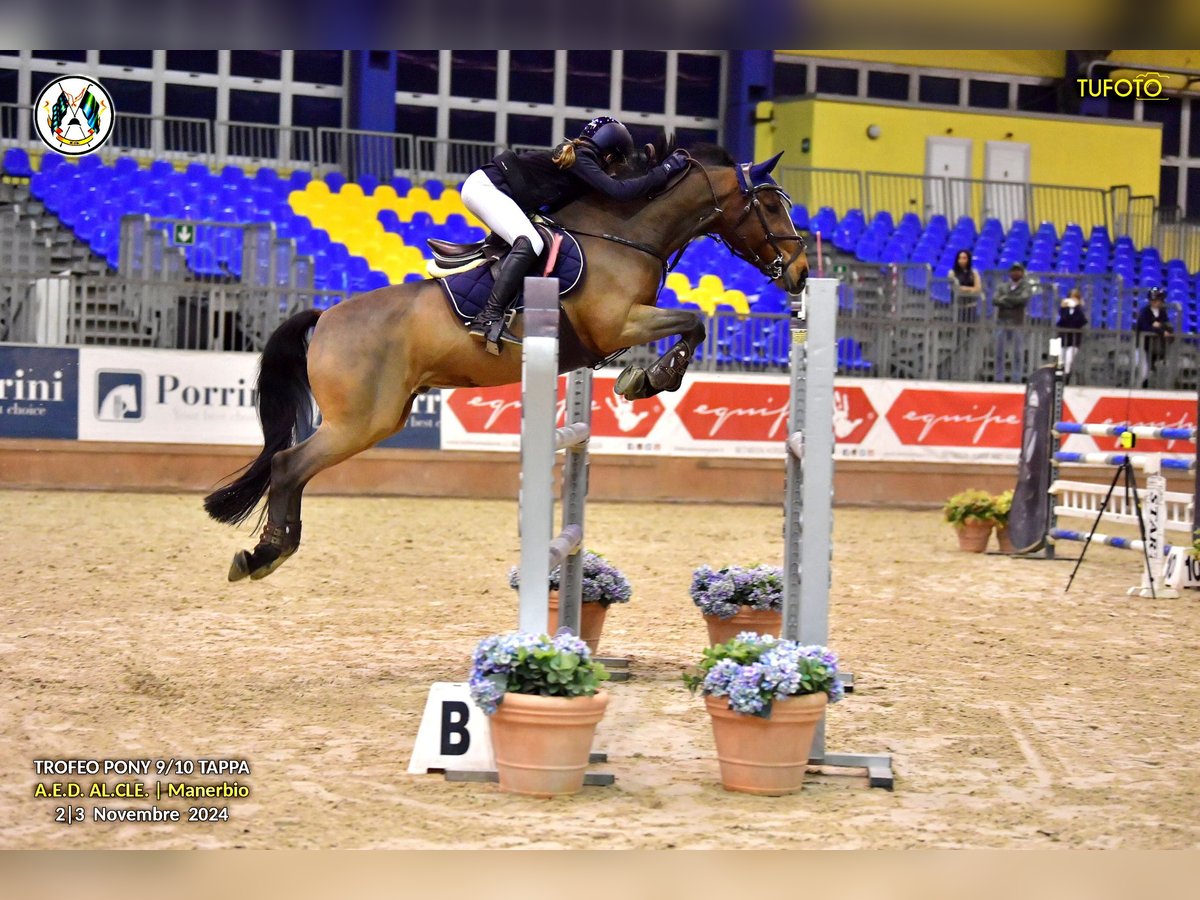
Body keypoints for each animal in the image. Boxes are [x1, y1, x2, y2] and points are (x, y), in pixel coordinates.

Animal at [206, 137, 811, 580]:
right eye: (770, 205)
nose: (803, 272)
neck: (623, 234)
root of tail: (326, 316)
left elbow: (694, 322)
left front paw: (647, 377)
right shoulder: (617, 323)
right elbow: (694, 319)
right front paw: (649, 378)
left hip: (381, 417)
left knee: (295, 469)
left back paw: (274, 550)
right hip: (360, 420)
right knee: (289, 465)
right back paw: (263, 555)